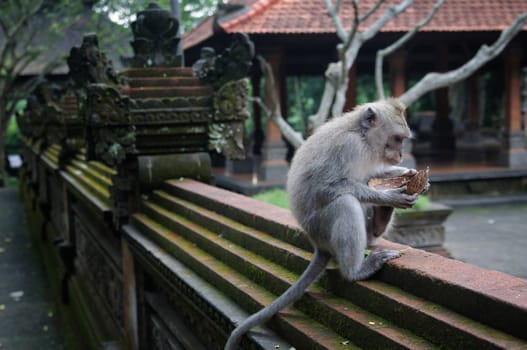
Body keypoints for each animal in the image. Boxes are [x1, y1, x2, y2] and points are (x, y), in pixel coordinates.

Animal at [224, 97, 424, 348]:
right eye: (398, 139)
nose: (400, 155)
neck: (363, 138)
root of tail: (317, 243)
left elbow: (373, 174)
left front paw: (406, 173)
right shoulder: (348, 147)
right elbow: (328, 187)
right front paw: (389, 196)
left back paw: (380, 221)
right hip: (321, 226)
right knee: (346, 202)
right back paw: (355, 271)